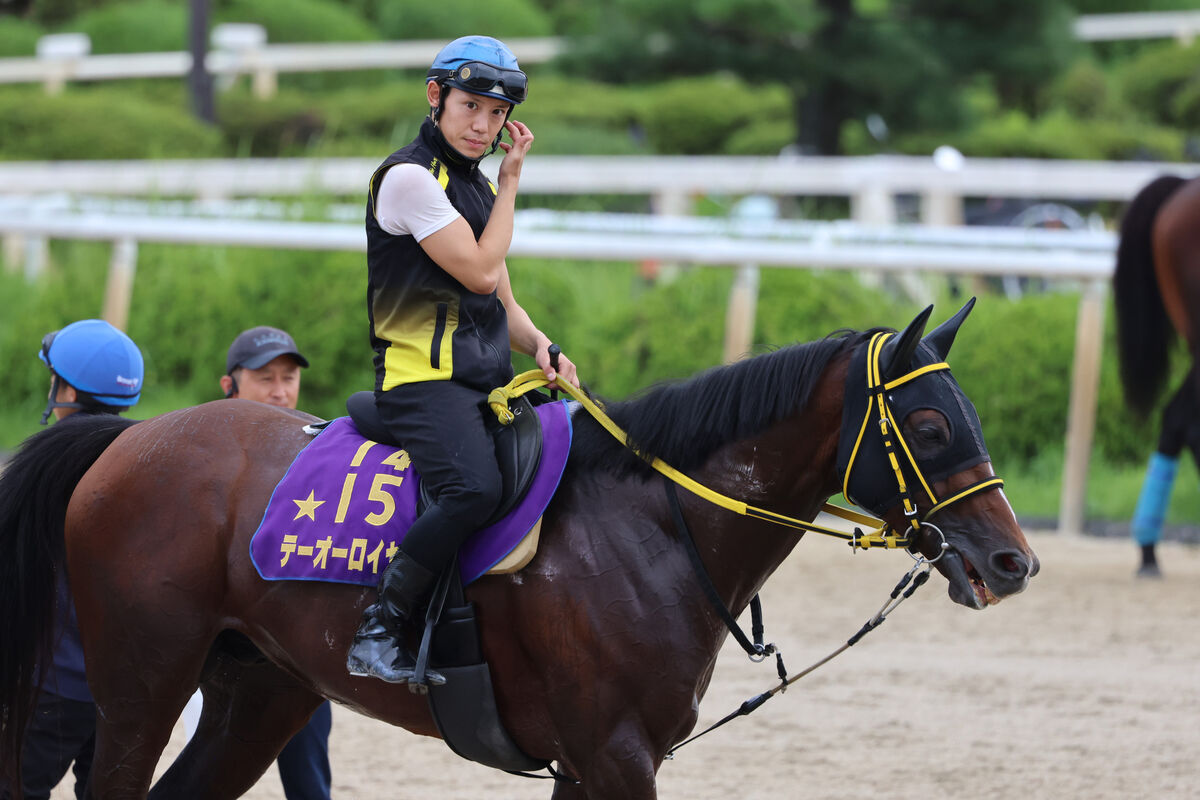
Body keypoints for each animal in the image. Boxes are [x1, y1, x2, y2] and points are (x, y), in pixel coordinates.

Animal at [0, 302, 1036, 800]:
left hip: (261, 693)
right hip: (142, 687)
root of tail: (130, 439)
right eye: (933, 426)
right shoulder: (616, 757)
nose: (1012, 562)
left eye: (977, 416)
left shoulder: (590, 763)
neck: (654, 528)